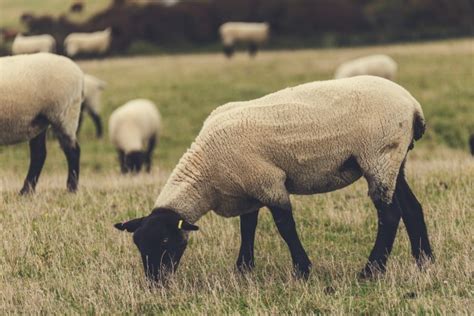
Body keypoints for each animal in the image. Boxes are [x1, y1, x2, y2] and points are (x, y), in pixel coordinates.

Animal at [0, 53, 83, 194]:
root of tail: (77, 71)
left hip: (64, 114)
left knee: (73, 151)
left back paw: (71, 189)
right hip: (39, 122)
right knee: (39, 154)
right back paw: (26, 191)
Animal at [115, 76, 434, 284]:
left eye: (166, 241)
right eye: (139, 245)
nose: (156, 283)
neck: (204, 175)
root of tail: (413, 105)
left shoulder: (268, 183)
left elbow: (285, 227)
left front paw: (302, 270)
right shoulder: (247, 189)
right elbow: (248, 227)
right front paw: (243, 270)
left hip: (377, 155)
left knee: (389, 215)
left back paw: (371, 271)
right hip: (394, 160)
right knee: (412, 208)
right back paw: (424, 263)